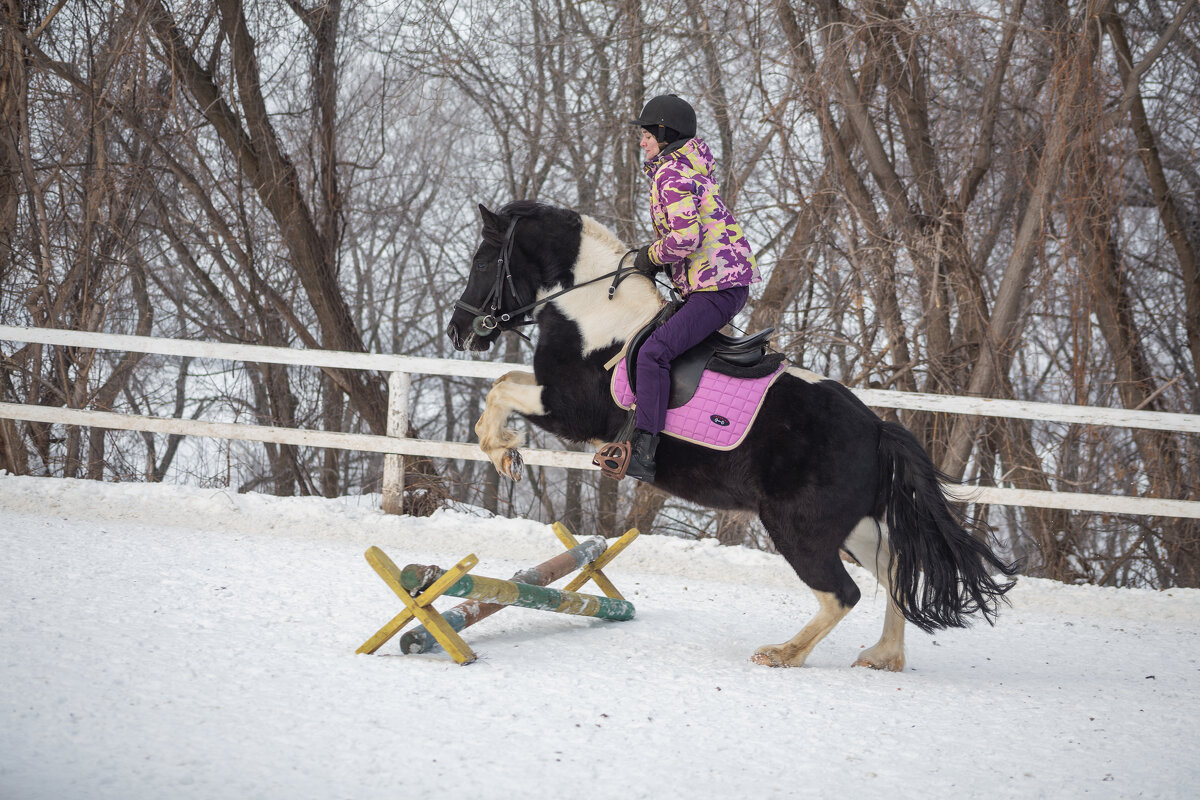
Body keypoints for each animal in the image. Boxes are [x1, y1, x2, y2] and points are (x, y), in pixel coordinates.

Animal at [446, 200, 1017, 671]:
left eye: (482, 262)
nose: (459, 330)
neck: (595, 314)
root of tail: (877, 428)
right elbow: (504, 382)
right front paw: (505, 451)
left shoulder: (570, 411)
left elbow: (500, 392)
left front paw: (504, 454)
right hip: (851, 527)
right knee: (894, 567)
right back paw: (883, 657)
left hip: (798, 527)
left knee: (842, 593)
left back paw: (783, 654)